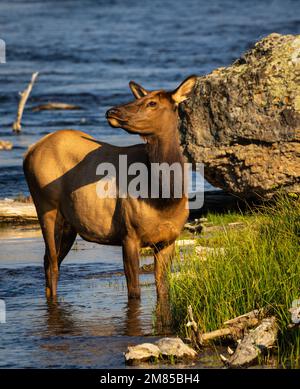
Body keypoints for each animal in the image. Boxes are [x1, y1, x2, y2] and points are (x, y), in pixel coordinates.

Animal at [23, 76, 197, 310]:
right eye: (139, 99)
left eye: (152, 103)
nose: (112, 111)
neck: (165, 199)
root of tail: (30, 150)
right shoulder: (129, 235)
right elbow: (134, 293)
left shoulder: (168, 240)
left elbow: (163, 290)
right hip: (45, 207)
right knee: (52, 265)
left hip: (68, 222)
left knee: (48, 261)